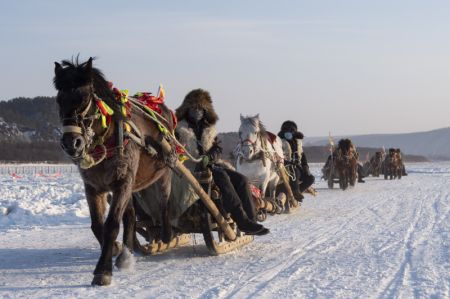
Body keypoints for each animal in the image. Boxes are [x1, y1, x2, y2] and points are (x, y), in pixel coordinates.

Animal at [51, 58, 174, 286]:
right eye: (59, 100)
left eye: (85, 98)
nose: (72, 143)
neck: (106, 140)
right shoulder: (93, 187)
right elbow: (97, 225)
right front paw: (117, 249)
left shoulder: (122, 182)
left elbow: (111, 225)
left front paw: (103, 270)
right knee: (131, 216)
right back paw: (128, 251)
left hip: (163, 173)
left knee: (164, 201)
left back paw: (166, 234)